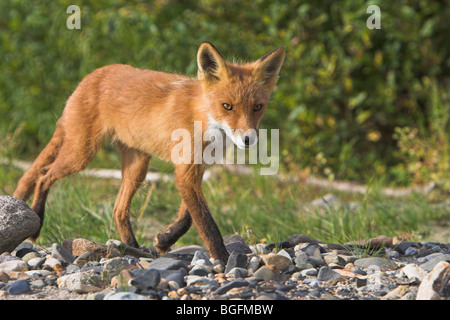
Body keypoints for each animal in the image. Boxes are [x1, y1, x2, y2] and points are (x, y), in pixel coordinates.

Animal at [15, 42, 286, 262]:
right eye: (227, 106)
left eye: (258, 107)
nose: (248, 140)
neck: (203, 118)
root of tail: (90, 77)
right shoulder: (186, 170)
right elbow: (206, 222)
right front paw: (221, 259)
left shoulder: (194, 170)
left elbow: (188, 217)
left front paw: (164, 239)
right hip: (81, 154)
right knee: (43, 174)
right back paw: (37, 224)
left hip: (137, 167)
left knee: (118, 209)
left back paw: (133, 248)